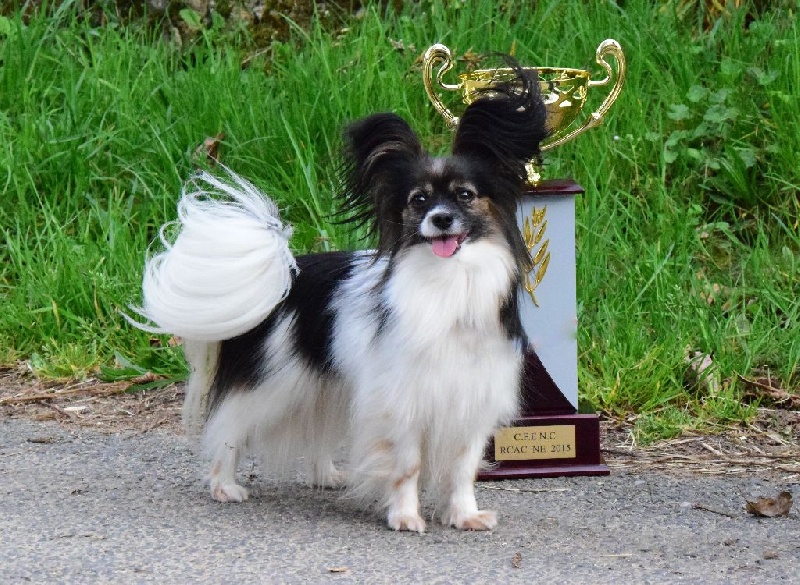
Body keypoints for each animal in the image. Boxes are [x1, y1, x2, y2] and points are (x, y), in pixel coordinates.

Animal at [130, 64, 547, 532]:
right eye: (418, 200)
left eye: (464, 195)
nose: (440, 220)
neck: (450, 281)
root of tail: (285, 277)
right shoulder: (403, 400)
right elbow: (408, 465)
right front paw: (405, 517)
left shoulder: (471, 399)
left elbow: (462, 468)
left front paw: (465, 515)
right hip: (271, 387)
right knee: (228, 429)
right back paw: (224, 485)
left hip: (326, 386)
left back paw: (325, 476)